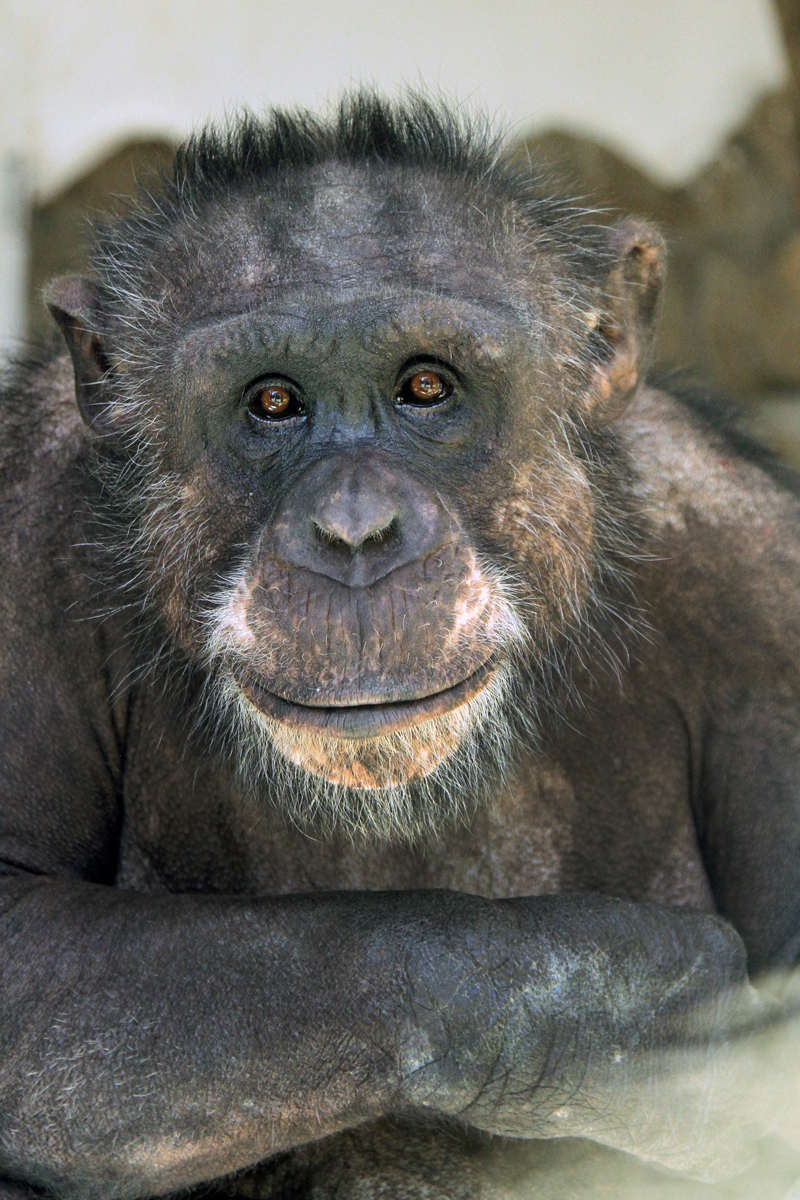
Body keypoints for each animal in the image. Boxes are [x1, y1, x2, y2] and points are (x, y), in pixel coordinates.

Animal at [1, 93, 800, 1200]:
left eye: (426, 387)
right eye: (272, 401)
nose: (354, 530)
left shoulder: (763, 591)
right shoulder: (23, 519)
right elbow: (17, 929)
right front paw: (627, 994)